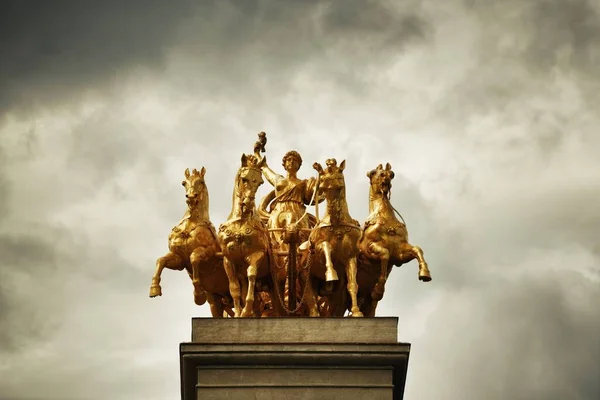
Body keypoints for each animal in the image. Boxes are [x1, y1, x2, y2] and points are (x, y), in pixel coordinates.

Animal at [150, 167, 234, 318]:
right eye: (184, 183)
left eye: (201, 182)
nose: (190, 197)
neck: (191, 224)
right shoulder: (179, 259)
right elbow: (161, 261)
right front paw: (154, 289)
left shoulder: (208, 252)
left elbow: (194, 258)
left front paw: (198, 294)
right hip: (216, 300)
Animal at [218, 155, 284, 318]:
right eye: (244, 179)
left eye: (260, 182)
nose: (247, 204)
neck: (240, 222)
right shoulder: (228, 260)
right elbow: (234, 288)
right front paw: (239, 313)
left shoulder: (256, 254)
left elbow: (252, 274)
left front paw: (246, 309)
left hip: (276, 280)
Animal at [302, 159, 364, 318]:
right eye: (323, 179)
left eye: (338, 176)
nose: (323, 189)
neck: (337, 225)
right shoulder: (318, 250)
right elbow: (326, 247)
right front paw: (330, 274)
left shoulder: (351, 257)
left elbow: (353, 284)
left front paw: (356, 311)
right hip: (306, 277)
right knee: (310, 298)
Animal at [356, 162, 432, 316]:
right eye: (373, 173)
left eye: (391, 174)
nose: (385, 176)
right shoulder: (369, 248)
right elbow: (384, 254)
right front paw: (378, 290)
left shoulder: (399, 254)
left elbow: (417, 249)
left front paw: (424, 273)